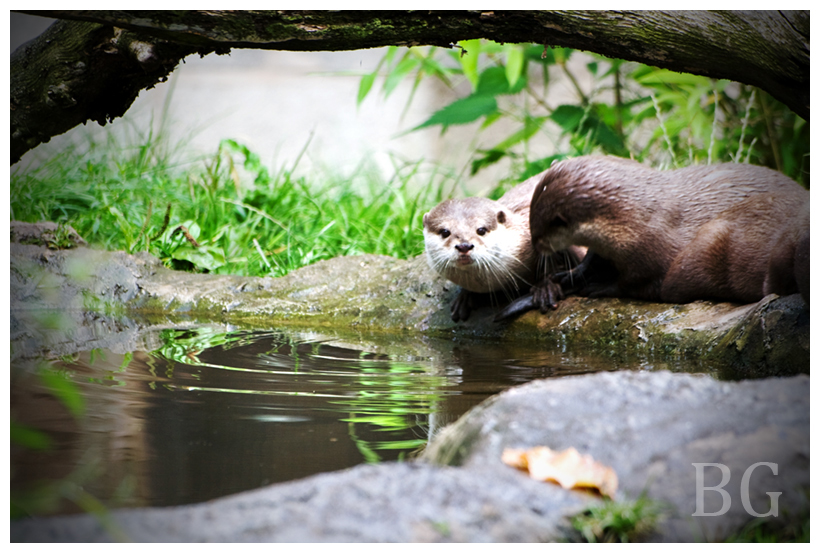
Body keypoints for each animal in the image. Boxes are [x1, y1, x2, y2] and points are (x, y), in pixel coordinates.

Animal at [528, 154, 812, 302]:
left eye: (538, 233)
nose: (533, 245)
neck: (636, 220)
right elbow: (594, 258)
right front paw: (571, 275)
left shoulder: (658, 258)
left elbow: (636, 285)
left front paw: (599, 287)